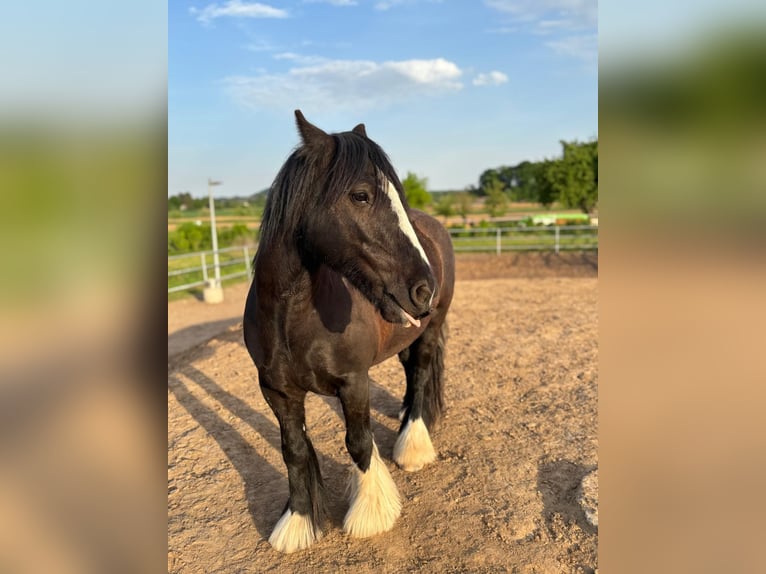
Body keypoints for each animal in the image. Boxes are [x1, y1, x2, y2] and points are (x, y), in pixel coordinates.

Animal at [243, 110, 455, 553]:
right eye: (361, 195)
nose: (424, 289)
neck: (293, 317)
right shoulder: (276, 391)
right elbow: (293, 450)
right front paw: (298, 522)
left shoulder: (354, 382)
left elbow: (358, 441)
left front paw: (371, 514)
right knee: (410, 370)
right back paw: (406, 416)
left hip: (430, 330)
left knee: (421, 373)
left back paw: (412, 443)